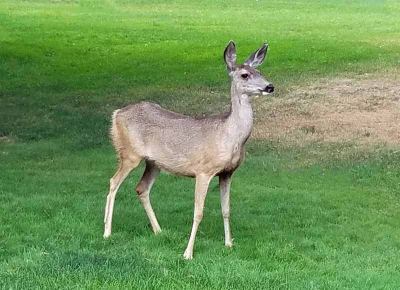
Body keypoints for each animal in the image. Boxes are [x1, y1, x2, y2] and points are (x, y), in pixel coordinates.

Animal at [102, 40, 276, 258]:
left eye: (259, 71)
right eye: (245, 75)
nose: (269, 86)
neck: (229, 136)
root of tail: (116, 113)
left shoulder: (227, 173)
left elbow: (226, 209)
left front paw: (229, 244)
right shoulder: (203, 171)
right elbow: (198, 212)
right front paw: (188, 253)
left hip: (154, 162)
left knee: (141, 188)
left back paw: (158, 230)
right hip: (129, 153)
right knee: (113, 182)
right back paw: (107, 232)